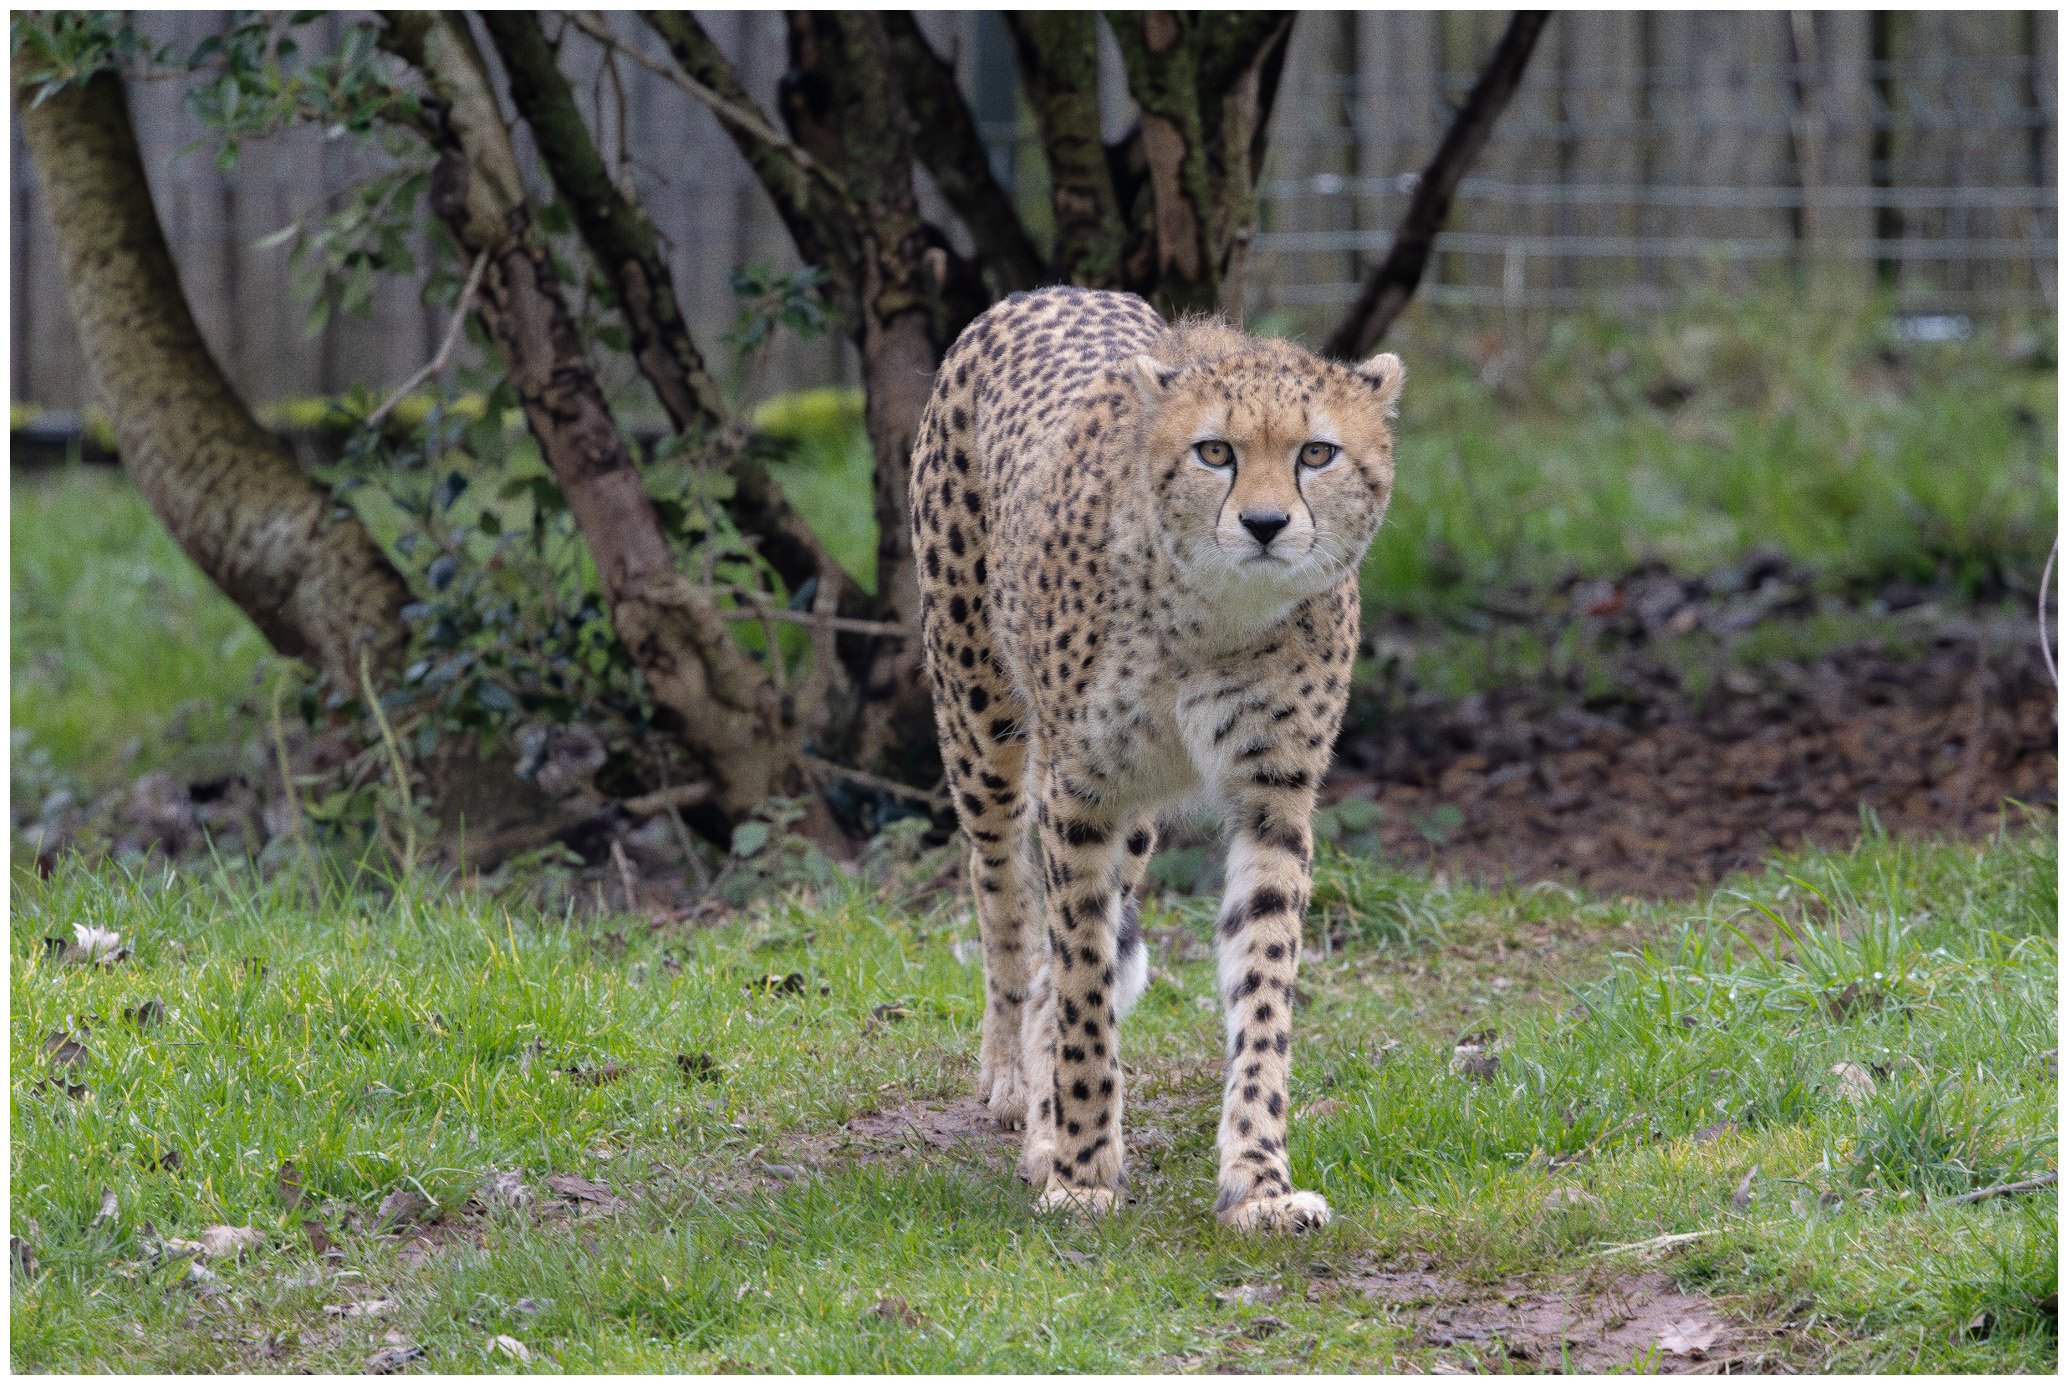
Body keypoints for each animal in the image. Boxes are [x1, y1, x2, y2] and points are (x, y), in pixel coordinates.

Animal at [909, 285, 1404, 1231]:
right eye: (1215, 451)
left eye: (1316, 453)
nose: (1264, 524)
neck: (1217, 613)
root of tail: (1048, 290)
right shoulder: (1080, 791)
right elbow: (1082, 989)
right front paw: (1084, 1169)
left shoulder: (1272, 794)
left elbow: (1262, 988)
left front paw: (1259, 1182)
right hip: (980, 716)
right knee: (1006, 904)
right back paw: (1013, 1079)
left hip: (1135, 807)